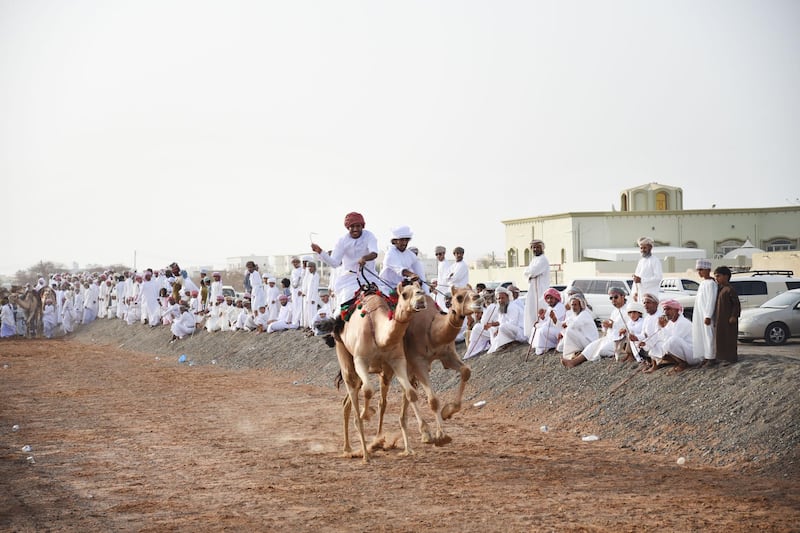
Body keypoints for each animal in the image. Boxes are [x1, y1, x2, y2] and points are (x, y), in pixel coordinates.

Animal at [332, 280, 428, 460]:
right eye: (404, 294)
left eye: (420, 289)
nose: (421, 297)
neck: (378, 332)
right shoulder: (360, 360)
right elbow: (369, 391)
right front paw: (367, 413)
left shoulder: (397, 362)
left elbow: (410, 393)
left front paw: (426, 433)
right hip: (345, 357)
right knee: (353, 395)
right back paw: (361, 453)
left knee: (348, 402)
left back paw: (352, 448)